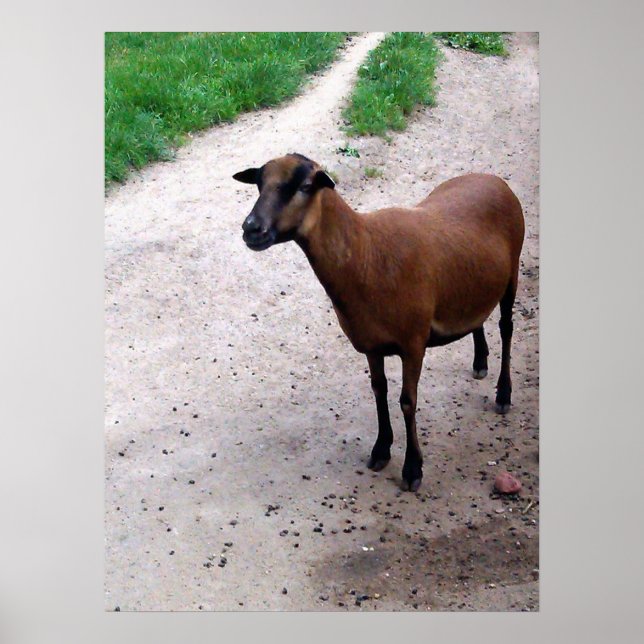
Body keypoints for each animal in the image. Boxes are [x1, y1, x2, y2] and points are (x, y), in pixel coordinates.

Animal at [234, 153, 524, 492]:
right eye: (259, 184)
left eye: (305, 186)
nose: (251, 229)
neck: (366, 254)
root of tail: (491, 178)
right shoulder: (371, 343)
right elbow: (379, 390)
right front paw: (381, 449)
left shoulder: (413, 343)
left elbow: (407, 401)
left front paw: (412, 469)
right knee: (477, 315)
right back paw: (480, 361)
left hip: (512, 273)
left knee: (506, 328)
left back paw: (503, 394)